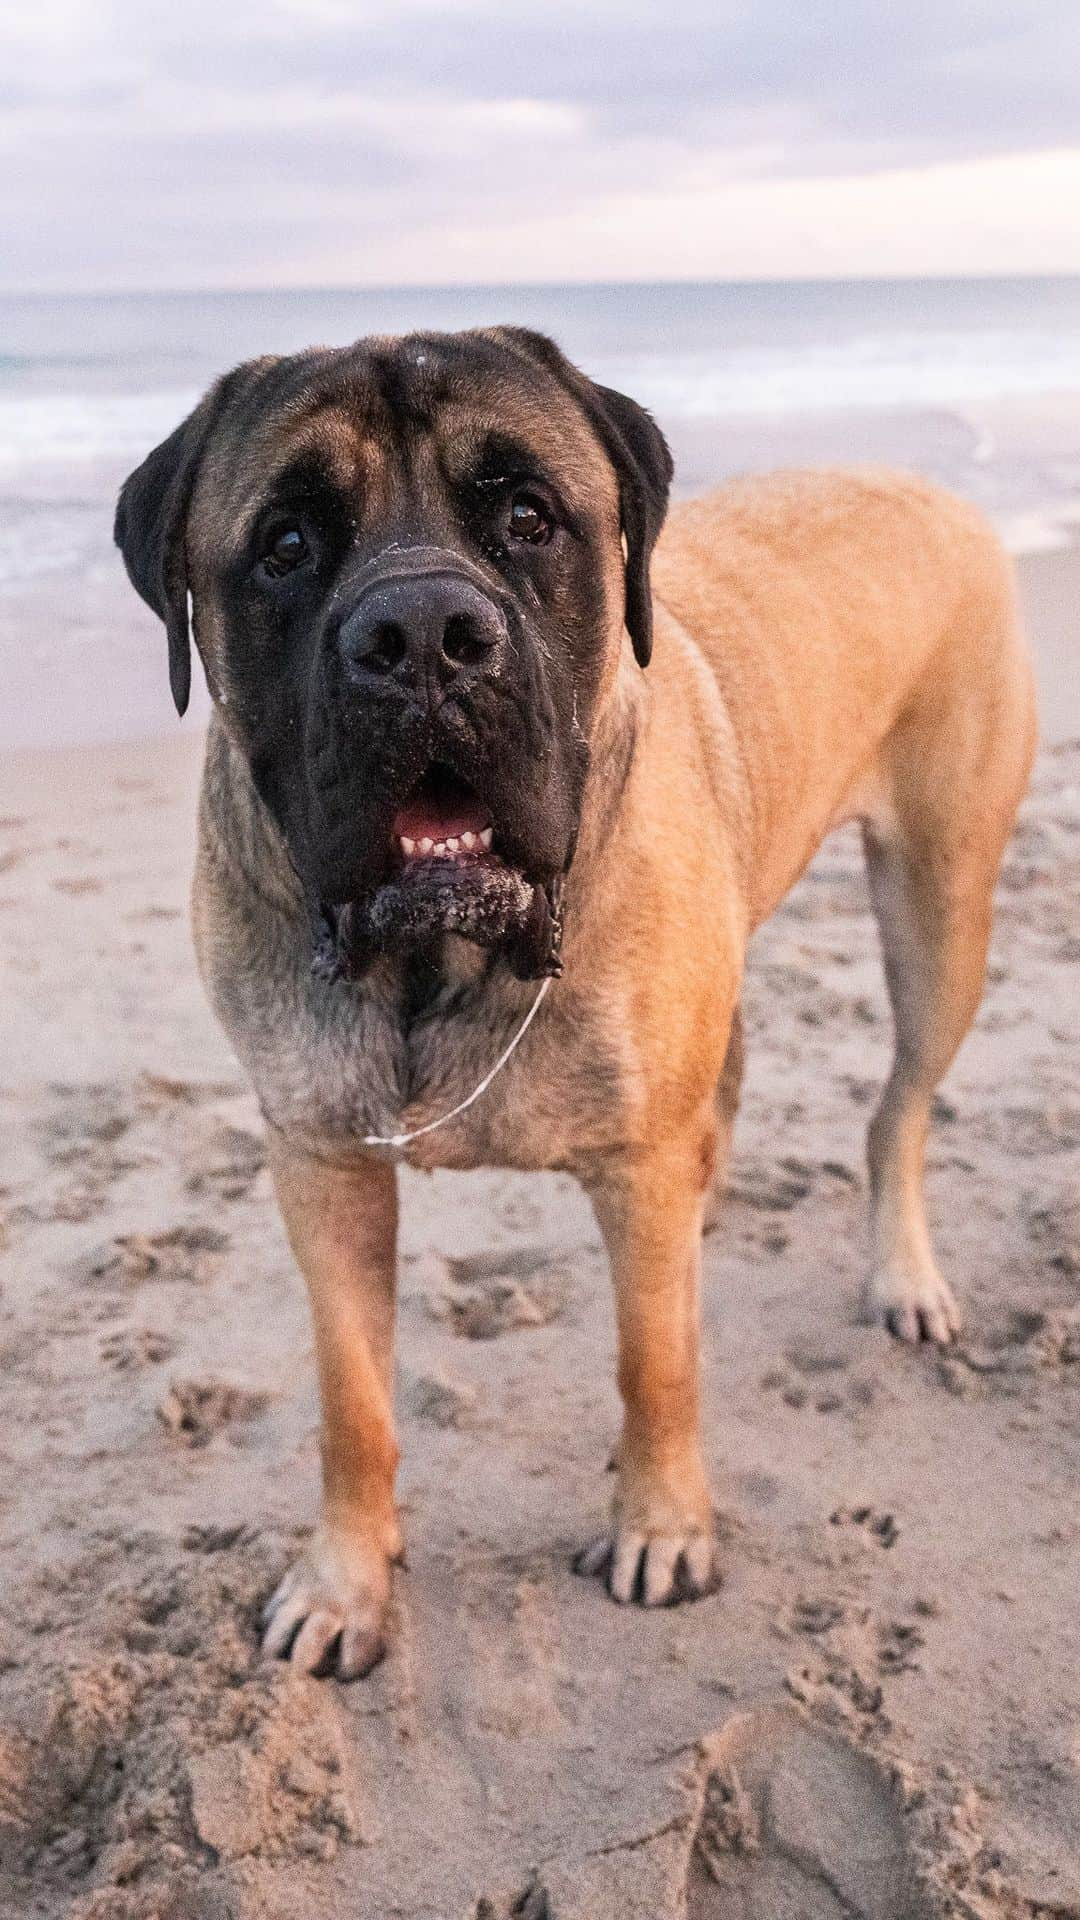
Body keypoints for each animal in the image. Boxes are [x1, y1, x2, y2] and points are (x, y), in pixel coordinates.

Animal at [115, 330, 1037, 1681]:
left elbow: (653, 1361)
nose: (423, 632)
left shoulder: (635, 1164)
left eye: (528, 517)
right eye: (284, 544)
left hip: (941, 907)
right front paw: (346, 1583)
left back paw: (902, 1275)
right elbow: (353, 1403)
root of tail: (931, 490)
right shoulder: (322, 1163)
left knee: (898, 1110)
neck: (438, 960)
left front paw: (661, 1527)